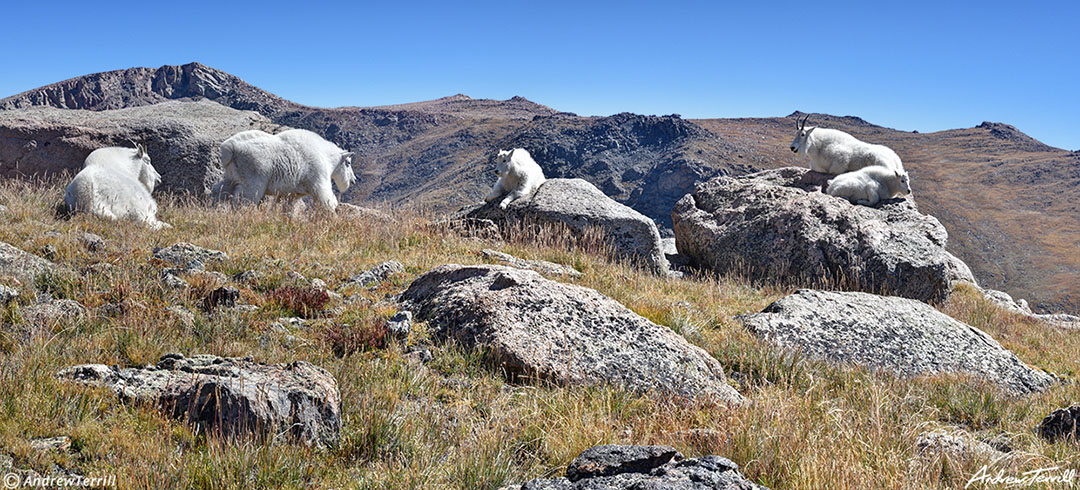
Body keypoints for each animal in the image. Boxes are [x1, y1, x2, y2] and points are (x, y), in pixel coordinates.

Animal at [212, 128, 356, 210]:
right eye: (348, 163)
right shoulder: (318, 182)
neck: (326, 155)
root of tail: (230, 149)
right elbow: (328, 201)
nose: (353, 180)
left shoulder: (290, 193)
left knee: (218, 190)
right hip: (252, 181)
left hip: (231, 176)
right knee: (242, 201)